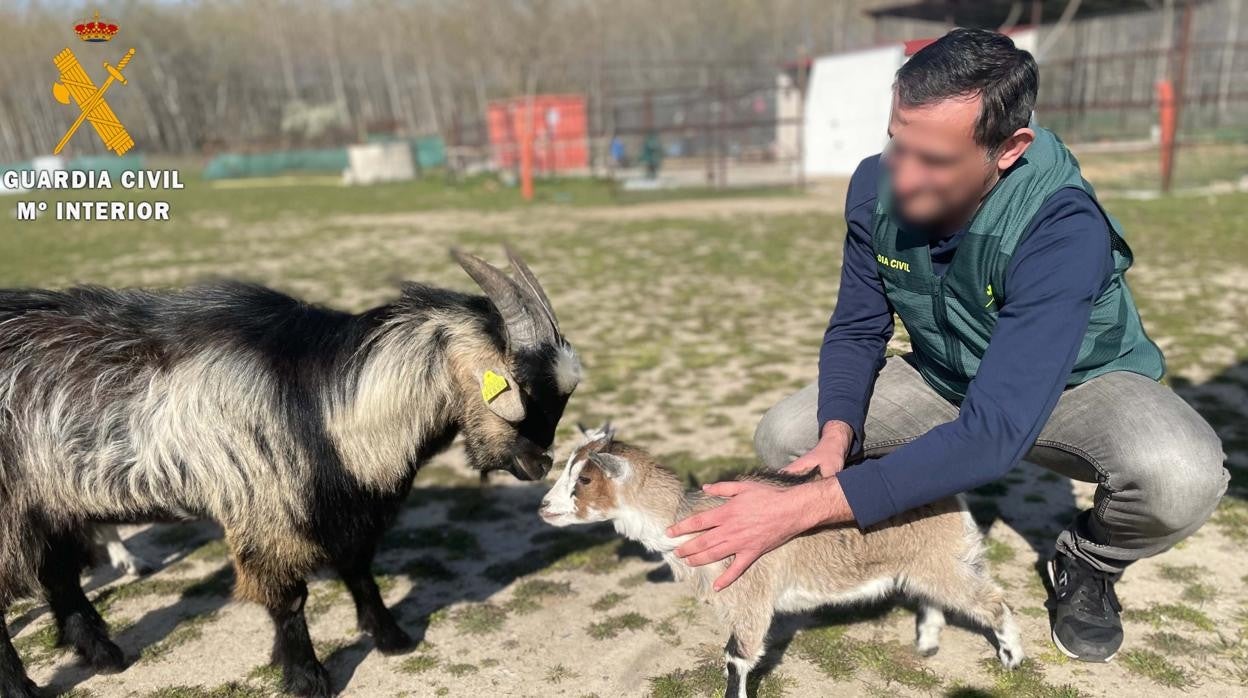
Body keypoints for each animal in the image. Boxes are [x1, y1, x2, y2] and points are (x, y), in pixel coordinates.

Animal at [0, 248, 579, 694]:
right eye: (523, 389)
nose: (540, 464)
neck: (320, 397)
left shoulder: (342, 505)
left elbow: (358, 568)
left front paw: (392, 638)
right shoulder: (269, 508)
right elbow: (290, 600)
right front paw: (308, 679)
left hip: (49, 503)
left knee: (57, 575)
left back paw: (107, 656)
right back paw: (25, 688)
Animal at [539, 427, 1023, 698]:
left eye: (584, 479)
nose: (544, 507)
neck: (687, 520)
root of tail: (952, 497)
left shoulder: (750, 594)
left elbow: (736, 657)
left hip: (943, 562)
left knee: (994, 601)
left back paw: (1012, 659)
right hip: (926, 563)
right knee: (935, 596)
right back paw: (927, 642)